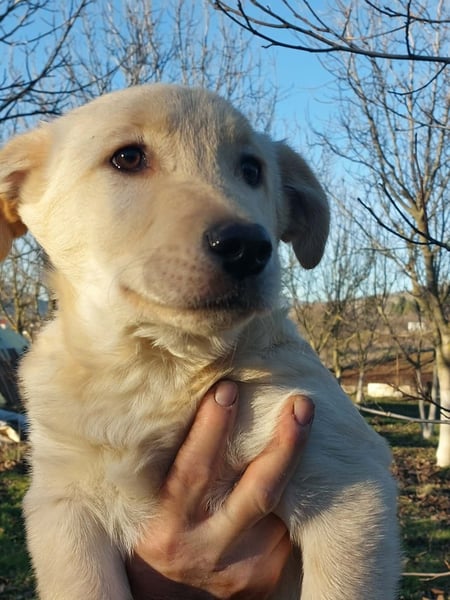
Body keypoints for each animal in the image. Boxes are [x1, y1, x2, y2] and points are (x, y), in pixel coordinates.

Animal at [0, 84, 400, 599]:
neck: (158, 367)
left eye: (252, 170)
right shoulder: (62, 505)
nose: (248, 247)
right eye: (128, 157)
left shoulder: (346, 479)